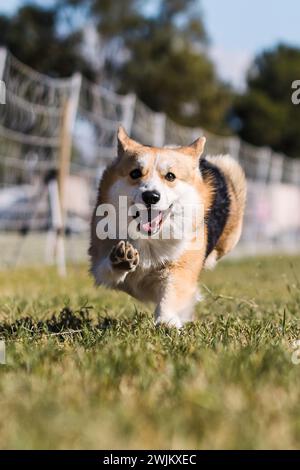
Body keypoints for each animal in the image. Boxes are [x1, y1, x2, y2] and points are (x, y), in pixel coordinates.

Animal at [89, 126, 246, 328]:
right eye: (135, 173)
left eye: (170, 176)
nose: (151, 196)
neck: (149, 239)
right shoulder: (99, 259)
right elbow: (106, 268)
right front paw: (121, 258)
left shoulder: (181, 266)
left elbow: (171, 294)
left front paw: (166, 321)